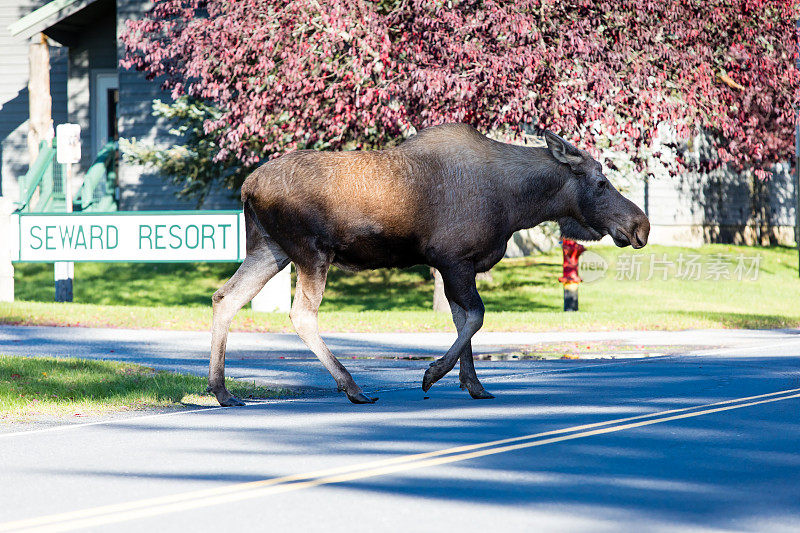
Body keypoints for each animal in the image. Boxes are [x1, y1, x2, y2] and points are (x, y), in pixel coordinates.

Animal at [208, 124, 648, 406]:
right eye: (601, 183)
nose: (640, 225)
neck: (518, 206)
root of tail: (247, 186)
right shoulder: (454, 260)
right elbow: (476, 317)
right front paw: (433, 373)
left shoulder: (455, 266)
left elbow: (462, 320)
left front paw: (474, 385)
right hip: (311, 253)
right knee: (301, 314)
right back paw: (352, 387)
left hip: (270, 250)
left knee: (225, 298)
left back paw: (223, 391)